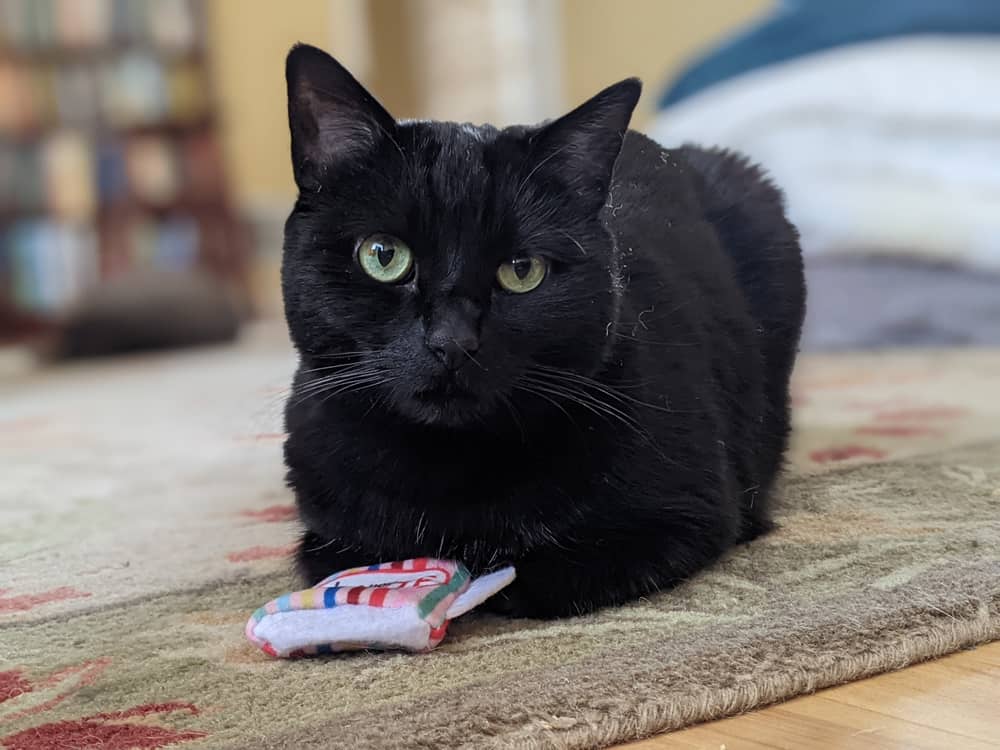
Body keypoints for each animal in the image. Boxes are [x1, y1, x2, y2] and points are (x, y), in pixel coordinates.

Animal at [280, 48, 804, 624]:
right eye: (383, 255)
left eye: (522, 270)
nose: (452, 341)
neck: (453, 470)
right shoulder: (328, 525)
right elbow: (338, 553)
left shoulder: (686, 515)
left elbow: (536, 575)